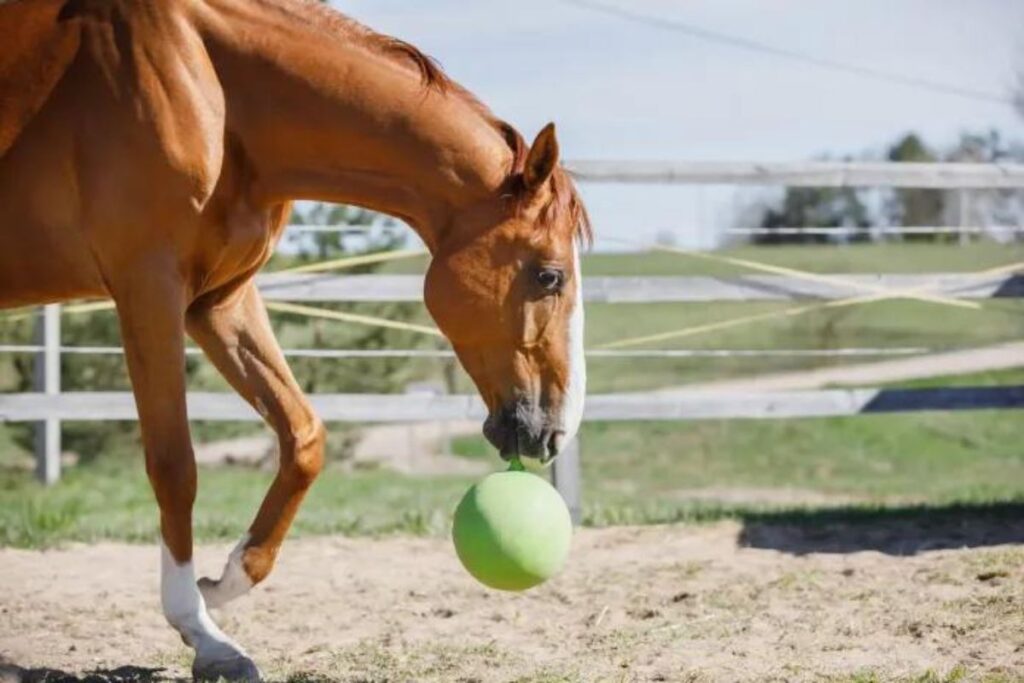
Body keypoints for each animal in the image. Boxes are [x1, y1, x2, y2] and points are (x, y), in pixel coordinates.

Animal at [0, 1, 593, 679]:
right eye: (549, 275)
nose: (555, 431)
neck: (212, 85)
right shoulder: (148, 290)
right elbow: (175, 465)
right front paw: (204, 634)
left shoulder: (218, 301)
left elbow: (304, 435)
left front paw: (225, 582)